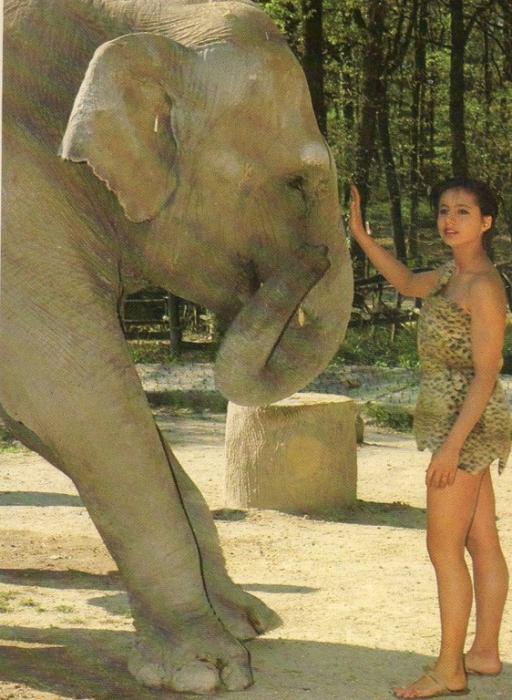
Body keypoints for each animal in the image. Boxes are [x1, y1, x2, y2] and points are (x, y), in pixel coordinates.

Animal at [1, 0, 353, 694]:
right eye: (299, 183)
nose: (315, 257)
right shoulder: (13, 215)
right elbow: (79, 402)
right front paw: (208, 669)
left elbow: (54, 415)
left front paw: (247, 621)